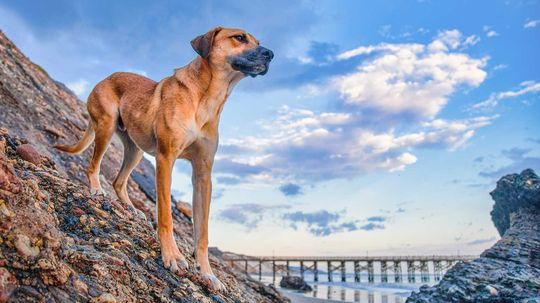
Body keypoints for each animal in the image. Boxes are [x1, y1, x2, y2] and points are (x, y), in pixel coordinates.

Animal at [53, 27, 274, 290]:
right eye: (239, 37)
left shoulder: (203, 174)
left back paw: (130, 208)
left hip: (135, 149)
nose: (271, 54)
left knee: (119, 181)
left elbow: (202, 234)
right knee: (92, 166)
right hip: (106, 125)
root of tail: (106, 77)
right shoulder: (165, 159)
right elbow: (166, 216)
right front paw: (172, 256)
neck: (208, 97)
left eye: (258, 41)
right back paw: (96, 189)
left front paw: (207, 273)